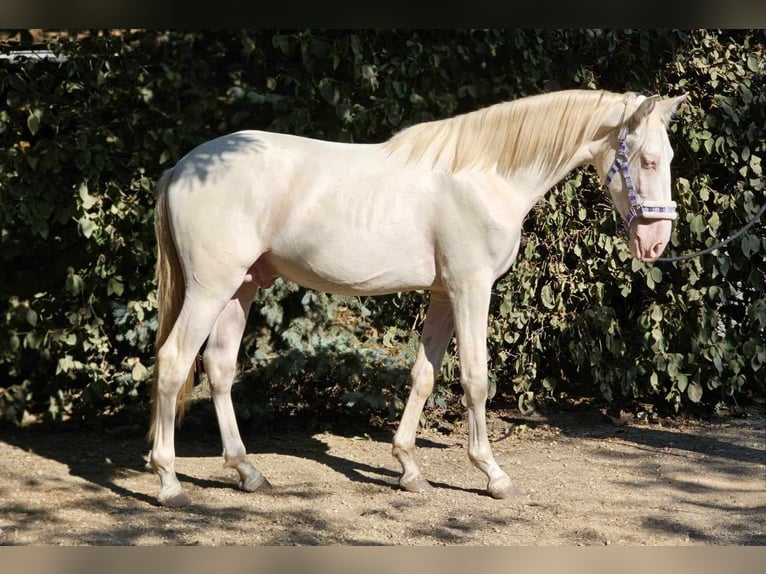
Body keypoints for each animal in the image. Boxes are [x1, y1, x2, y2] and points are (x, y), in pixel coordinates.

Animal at [147, 88, 688, 506]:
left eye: (667, 159)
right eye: (647, 160)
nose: (656, 243)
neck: (486, 175)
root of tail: (182, 168)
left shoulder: (444, 295)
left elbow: (424, 377)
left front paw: (409, 469)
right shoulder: (471, 289)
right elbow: (475, 379)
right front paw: (493, 475)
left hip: (240, 288)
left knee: (218, 369)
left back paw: (247, 473)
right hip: (210, 288)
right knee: (174, 363)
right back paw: (170, 482)